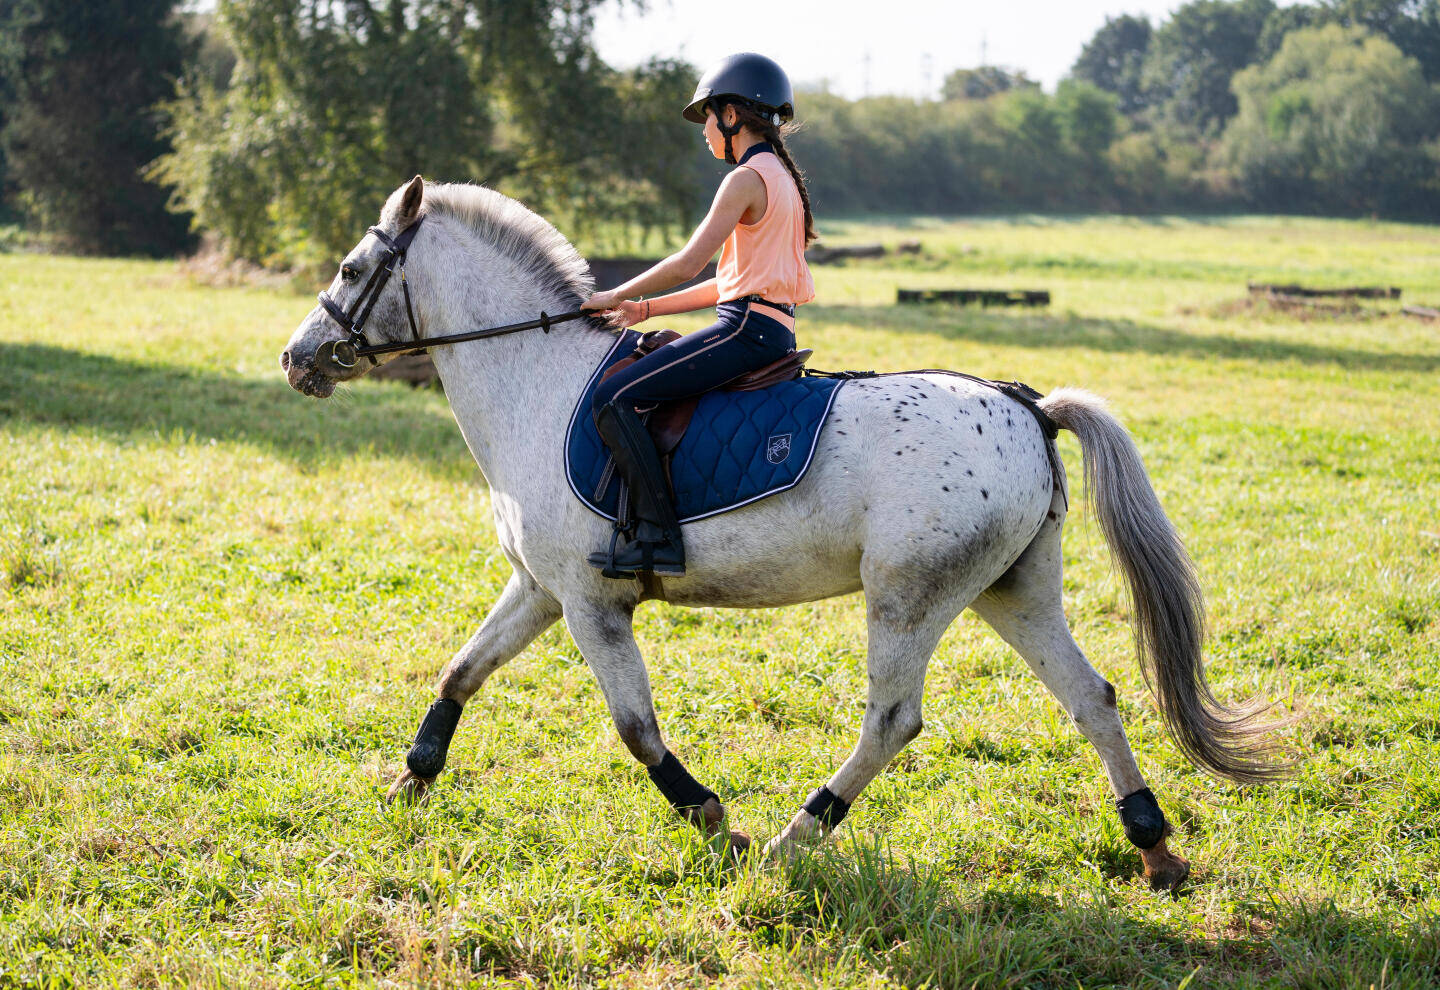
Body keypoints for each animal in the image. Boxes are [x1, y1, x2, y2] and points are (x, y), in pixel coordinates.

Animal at [280, 176, 1284, 892]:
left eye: (349, 271)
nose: (297, 359)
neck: (537, 378)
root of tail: (1026, 406)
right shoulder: (541, 587)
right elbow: (461, 671)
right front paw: (410, 783)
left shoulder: (592, 603)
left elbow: (637, 729)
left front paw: (717, 821)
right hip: (1014, 591)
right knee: (1092, 698)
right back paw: (1154, 850)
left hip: (909, 597)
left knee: (893, 720)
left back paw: (795, 839)